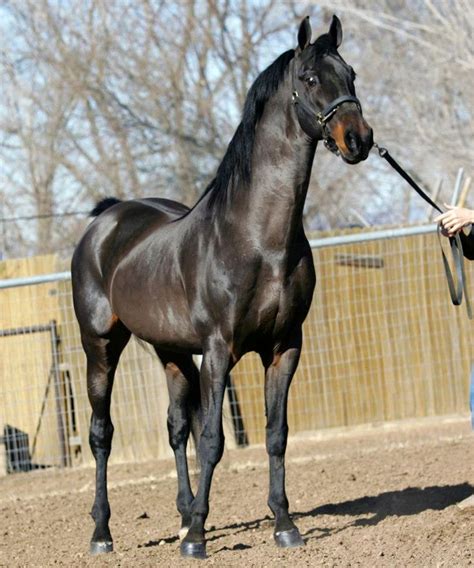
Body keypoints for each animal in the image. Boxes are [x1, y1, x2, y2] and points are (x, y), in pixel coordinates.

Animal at [71, 14, 374, 560]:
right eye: (310, 79)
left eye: (352, 75)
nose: (358, 139)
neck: (257, 237)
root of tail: (106, 218)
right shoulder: (219, 349)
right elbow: (212, 439)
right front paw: (196, 540)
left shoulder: (284, 347)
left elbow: (275, 434)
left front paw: (283, 525)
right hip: (100, 346)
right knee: (102, 434)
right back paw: (103, 533)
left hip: (170, 351)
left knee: (175, 428)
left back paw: (183, 514)